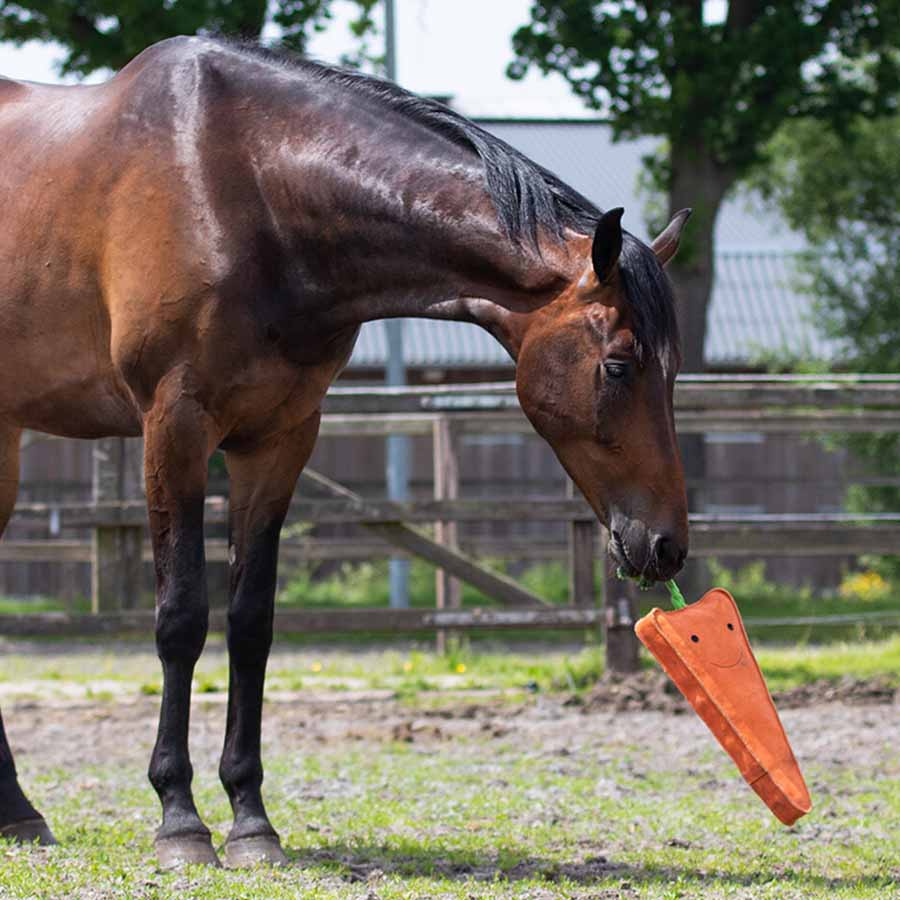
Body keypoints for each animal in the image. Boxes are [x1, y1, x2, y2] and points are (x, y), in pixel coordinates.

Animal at [0, 36, 690, 868]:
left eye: (673, 369)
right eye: (619, 366)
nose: (666, 544)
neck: (246, 190)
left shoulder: (280, 438)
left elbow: (251, 624)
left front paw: (251, 819)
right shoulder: (175, 429)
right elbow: (181, 619)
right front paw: (180, 819)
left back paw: (18, 813)